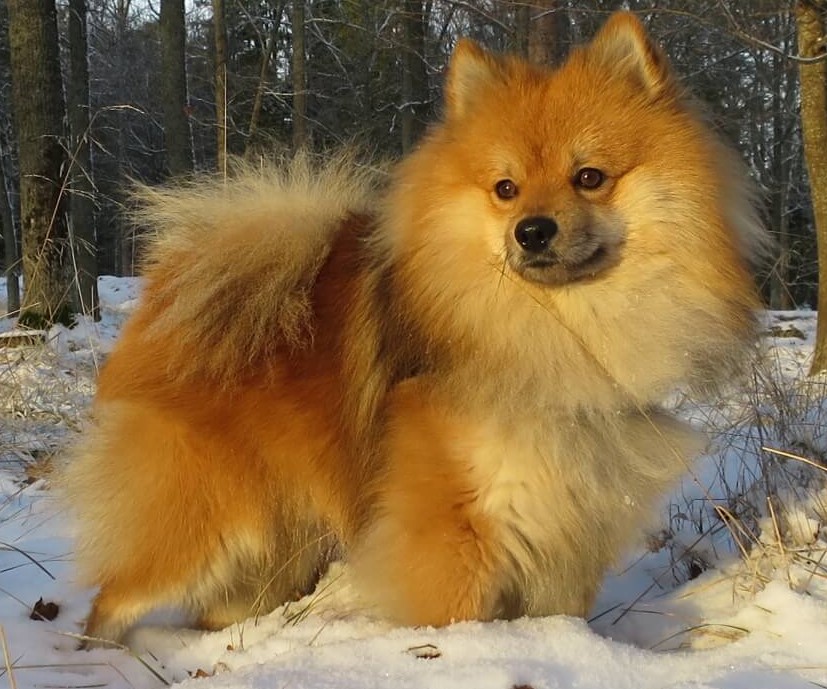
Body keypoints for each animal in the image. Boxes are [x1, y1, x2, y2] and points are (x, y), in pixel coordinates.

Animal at [61, 10, 768, 644]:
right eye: (505, 189)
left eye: (589, 177)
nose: (532, 231)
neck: (556, 335)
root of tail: (170, 299)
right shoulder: (457, 530)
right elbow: (455, 620)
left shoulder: (567, 530)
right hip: (206, 526)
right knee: (110, 601)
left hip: (274, 548)